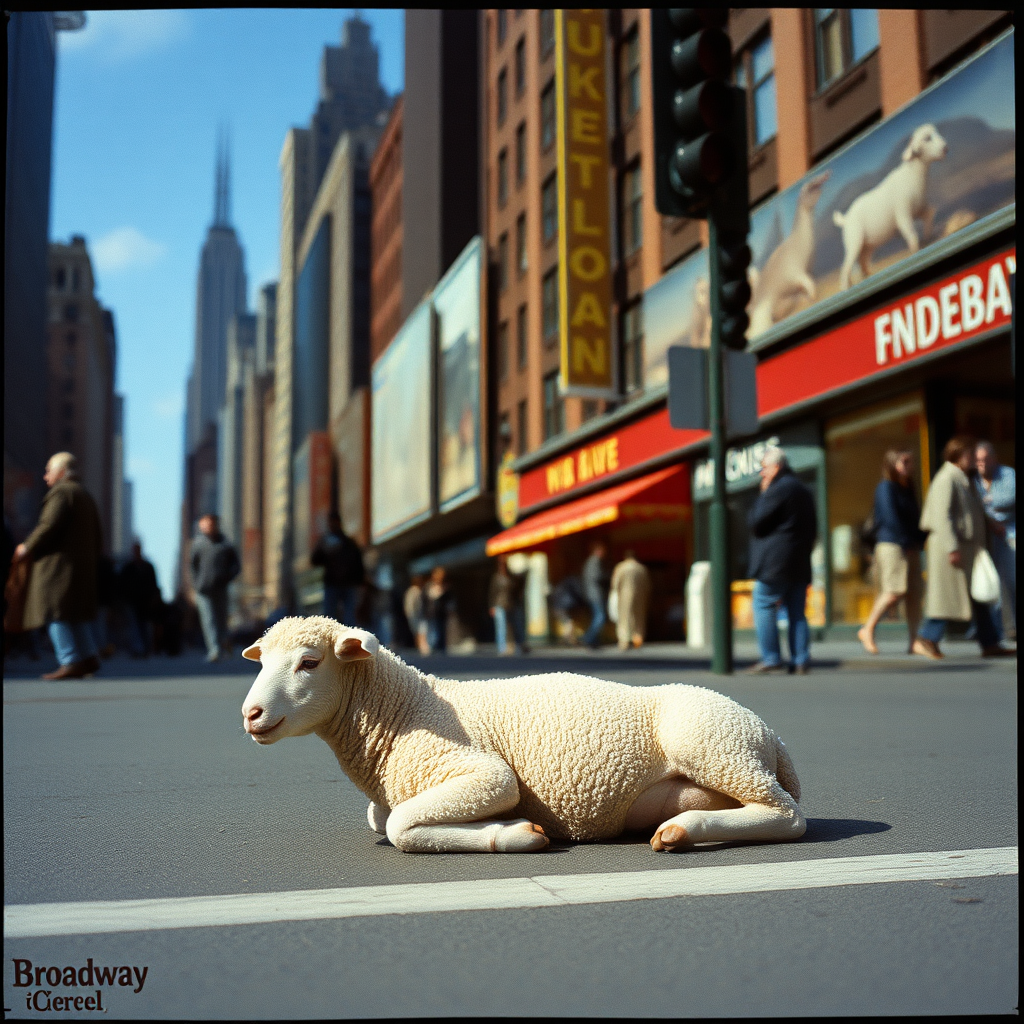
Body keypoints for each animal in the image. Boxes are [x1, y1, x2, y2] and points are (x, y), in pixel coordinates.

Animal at [241, 614, 806, 856]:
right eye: (263, 661)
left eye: (310, 662)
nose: (250, 714)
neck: (404, 710)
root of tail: (771, 736)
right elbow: (379, 816)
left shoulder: (481, 772)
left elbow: (399, 825)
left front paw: (516, 833)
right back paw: (680, 825)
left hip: (711, 741)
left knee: (788, 816)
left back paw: (684, 831)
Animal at [749, 169, 835, 333]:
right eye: (810, 186)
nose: (826, 175)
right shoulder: (798, 274)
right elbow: (810, 286)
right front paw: (813, 297)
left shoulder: (805, 275)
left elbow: (807, 289)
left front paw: (809, 298)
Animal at [831, 125, 942, 292]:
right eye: (927, 138)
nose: (945, 148)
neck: (912, 175)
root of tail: (845, 219)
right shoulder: (903, 214)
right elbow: (911, 234)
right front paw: (916, 250)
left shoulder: (919, 209)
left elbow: (931, 213)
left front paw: (928, 236)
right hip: (854, 241)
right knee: (846, 266)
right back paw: (846, 287)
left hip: (867, 245)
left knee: (862, 261)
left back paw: (868, 276)